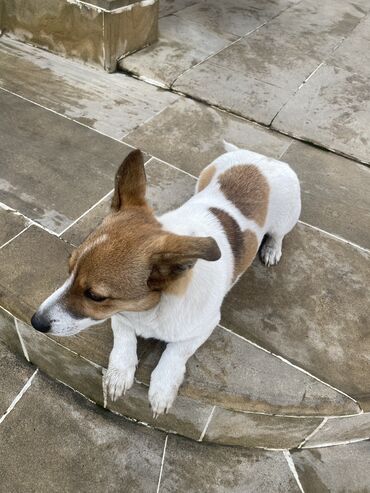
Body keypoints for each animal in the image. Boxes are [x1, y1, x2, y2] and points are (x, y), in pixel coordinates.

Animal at [29, 140, 300, 414]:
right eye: (69, 269)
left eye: (95, 296)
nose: (35, 322)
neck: (152, 309)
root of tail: (263, 158)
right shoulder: (119, 316)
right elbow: (124, 339)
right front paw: (119, 373)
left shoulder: (204, 326)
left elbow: (175, 353)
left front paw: (162, 388)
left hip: (286, 218)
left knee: (279, 234)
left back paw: (271, 249)